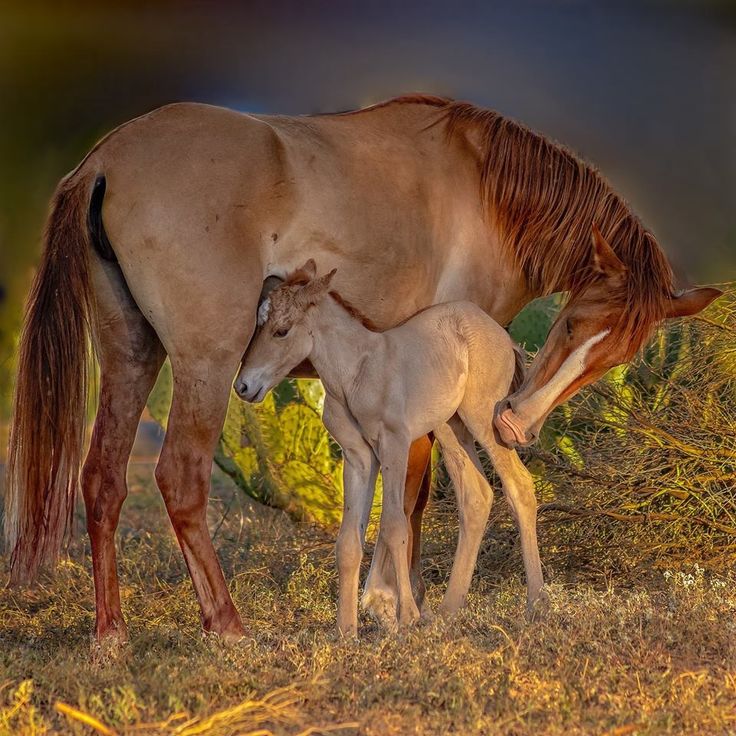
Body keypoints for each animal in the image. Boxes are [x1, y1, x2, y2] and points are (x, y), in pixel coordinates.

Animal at [236, 262, 548, 636]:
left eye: (281, 331)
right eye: (257, 325)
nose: (244, 385)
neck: (356, 373)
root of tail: (499, 333)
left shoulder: (395, 445)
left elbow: (394, 525)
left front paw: (406, 616)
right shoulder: (357, 458)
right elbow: (349, 541)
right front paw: (346, 631)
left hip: (483, 419)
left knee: (520, 486)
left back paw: (535, 604)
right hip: (450, 428)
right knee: (477, 495)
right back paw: (447, 613)